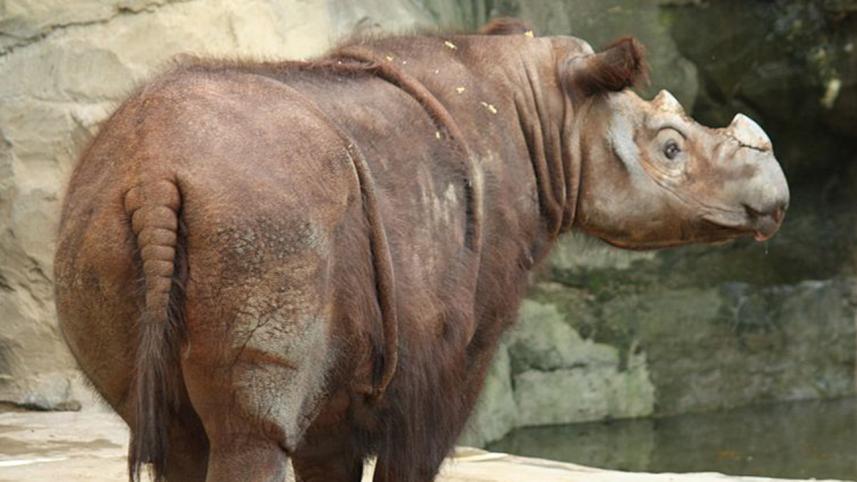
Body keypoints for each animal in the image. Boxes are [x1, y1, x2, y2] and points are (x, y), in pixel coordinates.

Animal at [54, 19, 789, 482]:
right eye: (670, 149)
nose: (776, 201)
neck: (549, 113)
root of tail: (153, 169)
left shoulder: (349, 360)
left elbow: (328, 458)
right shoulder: (444, 347)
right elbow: (415, 454)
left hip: (99, 218)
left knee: (175, 431)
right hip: (262, 214)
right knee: (249, 437)